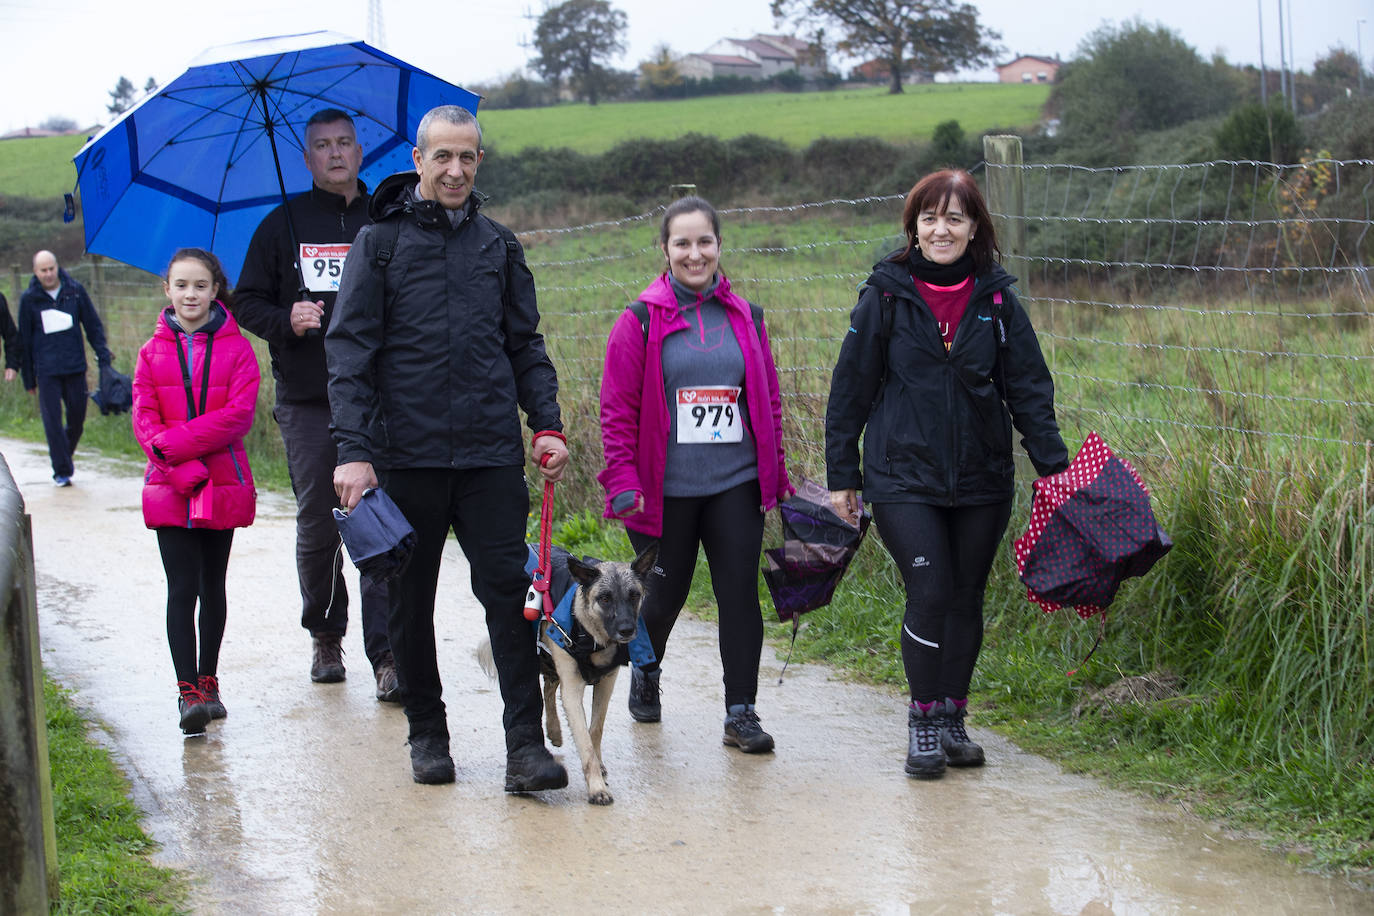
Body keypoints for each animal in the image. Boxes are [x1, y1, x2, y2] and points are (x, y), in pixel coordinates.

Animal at [480, 541, 656, 807]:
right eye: (605, 598)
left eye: (634, 595)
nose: (627, 630)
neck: (591, 635)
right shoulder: (573, 689)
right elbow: (584, 740)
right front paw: (596, 788)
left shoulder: (606, 684)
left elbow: (595, 731)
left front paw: (598, 766)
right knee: (546, 689)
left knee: (549, 687)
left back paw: (554, 730)